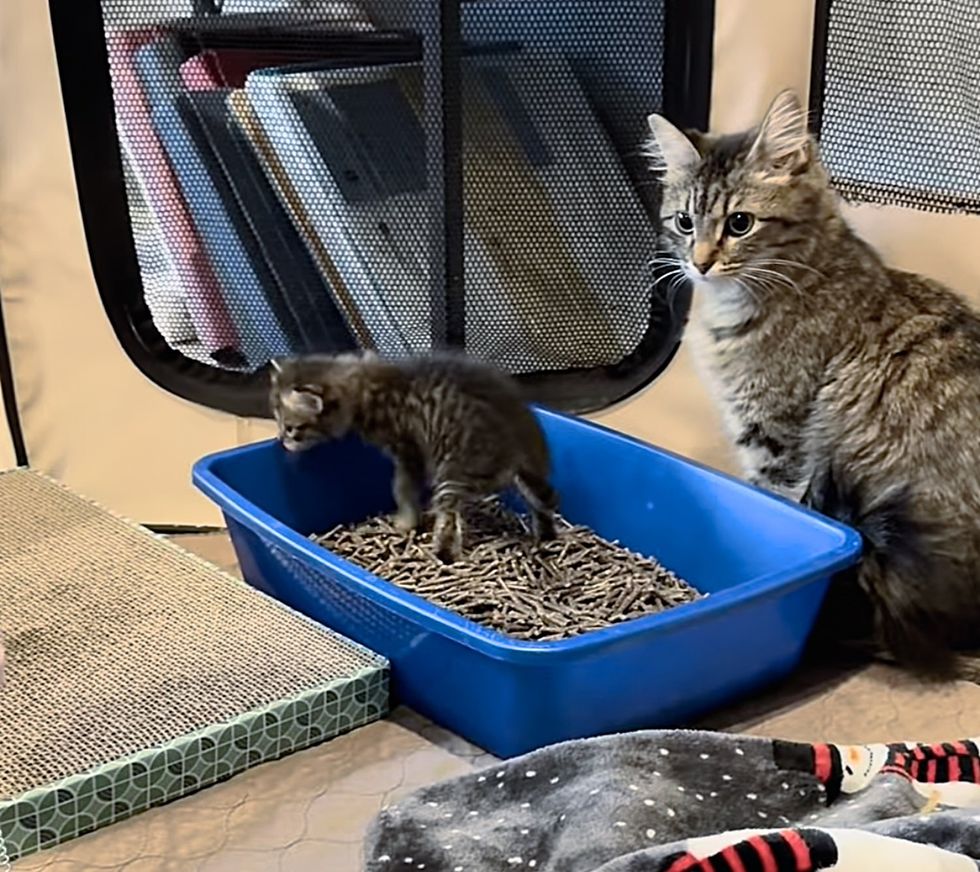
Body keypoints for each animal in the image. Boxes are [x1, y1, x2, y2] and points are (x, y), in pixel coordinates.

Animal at [272, 350, 556, 564]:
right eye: (277, 420)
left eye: (292, 428)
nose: (282, 440)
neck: (364, 385)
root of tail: (516, 444)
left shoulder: (408, 451)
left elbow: (403, 488)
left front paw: (405, 523)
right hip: (531, 472)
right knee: (545, 502)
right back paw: (546, 538)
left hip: (452, 474)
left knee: (449, 520)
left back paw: (442, 554)